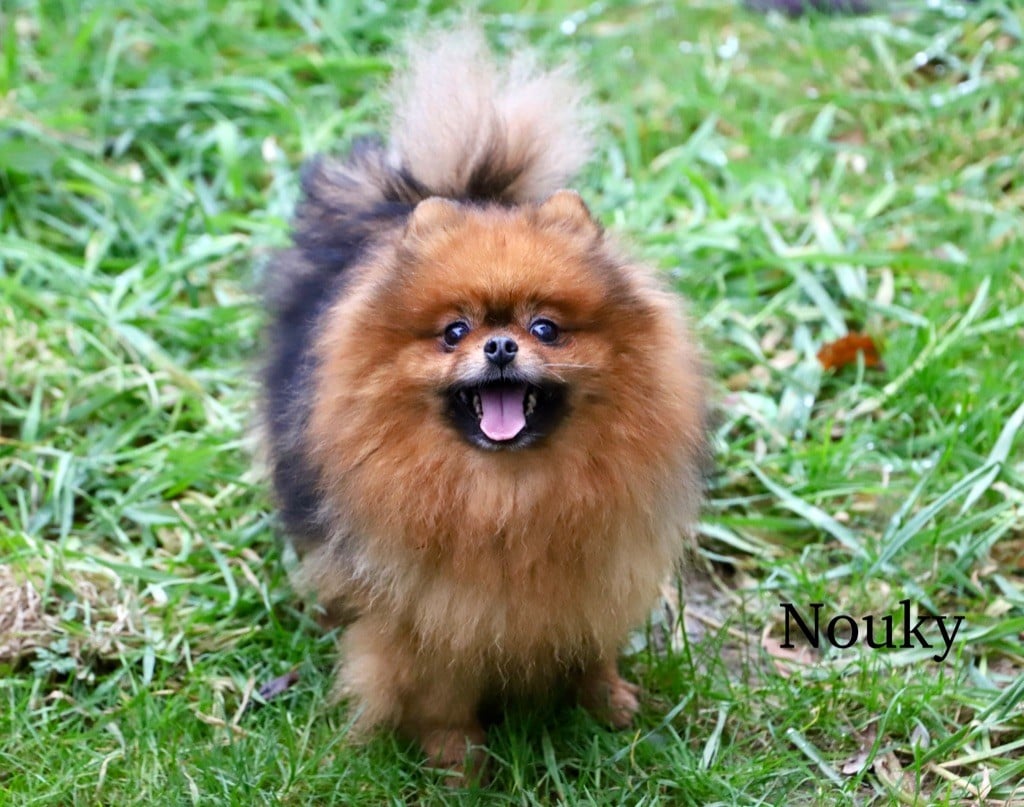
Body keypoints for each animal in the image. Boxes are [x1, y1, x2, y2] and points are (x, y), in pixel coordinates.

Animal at [262, 26, 712, 782]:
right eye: (453, 331)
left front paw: (609, 705)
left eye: (546, 328)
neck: (506, 497)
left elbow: (591, 653)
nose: (500, 345)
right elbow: (441, 698)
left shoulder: (593, 583)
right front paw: (459, 765)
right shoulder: (431, 617)